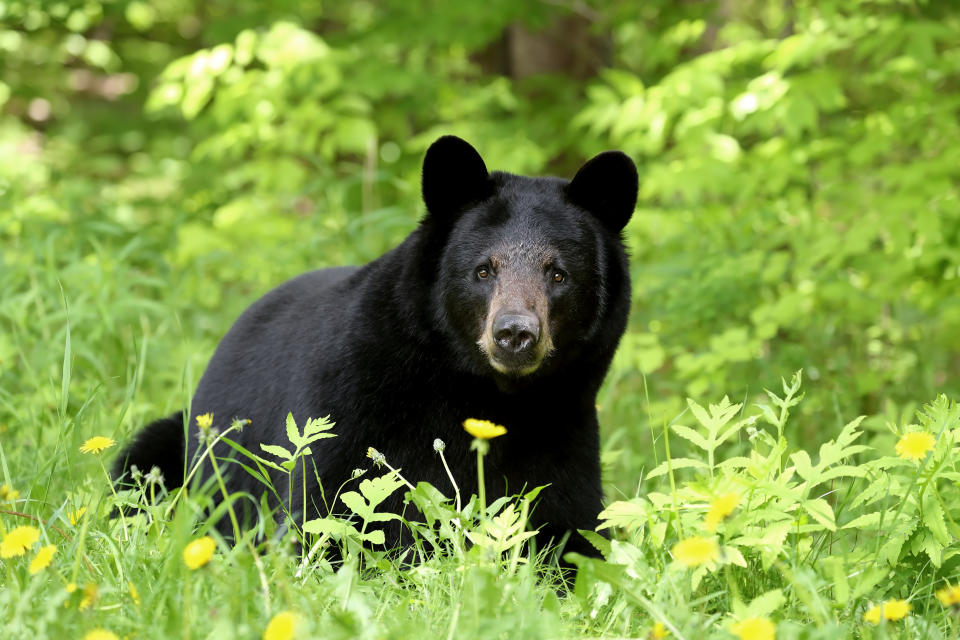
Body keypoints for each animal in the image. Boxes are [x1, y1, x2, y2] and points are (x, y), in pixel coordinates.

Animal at [114, 138, 636, 556]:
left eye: (558, 274)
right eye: (484, 270)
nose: (514, 334)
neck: (487, 394)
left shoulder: (562, 424)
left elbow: (574, 530)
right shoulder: (354, 395)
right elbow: (324, 510)